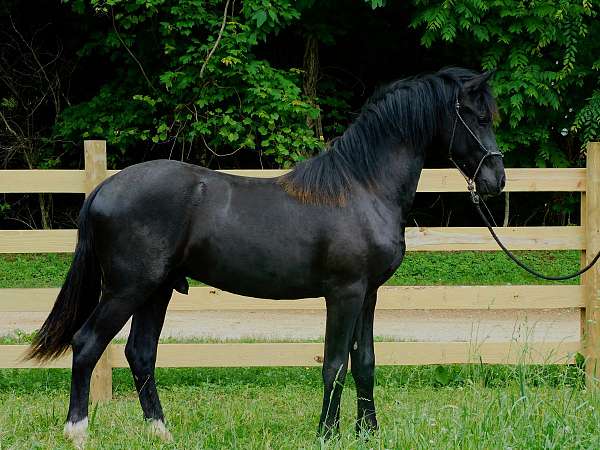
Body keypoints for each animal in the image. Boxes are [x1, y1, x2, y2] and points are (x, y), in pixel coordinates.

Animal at [29, 67, 506, 446]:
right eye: (476, 116)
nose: (496, 179)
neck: (361, 187)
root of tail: (102, 189)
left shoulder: (369, 294)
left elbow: (365, 362)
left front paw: (368, 432)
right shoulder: (345, 293)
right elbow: (335, 364)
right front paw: (326, 434)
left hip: (156, 290)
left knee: (140, 353)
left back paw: (161, 431)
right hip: (128, 289)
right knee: (87, 344)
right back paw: (77, 431)